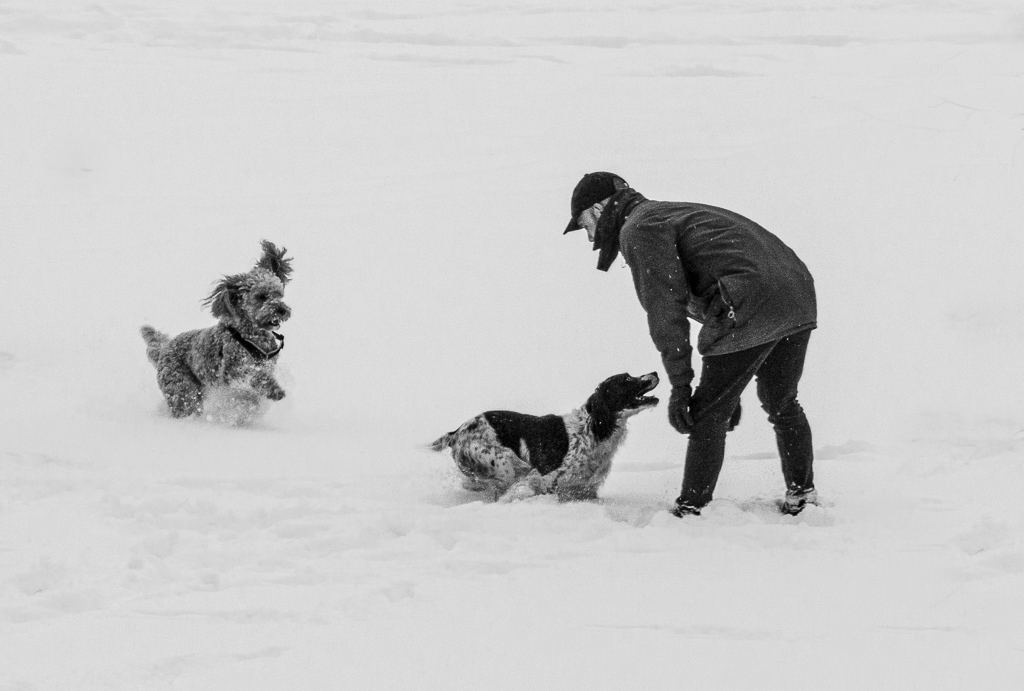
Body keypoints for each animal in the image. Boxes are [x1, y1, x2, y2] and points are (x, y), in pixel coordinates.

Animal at [141, 240, 292, 419]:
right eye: (261, 296)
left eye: (279, 294)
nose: (282, 310)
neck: (248, 336)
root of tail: (164, 349)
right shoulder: (232, 371)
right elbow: (255, 376)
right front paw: (273, 390)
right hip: (182, 389)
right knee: (185, 405)